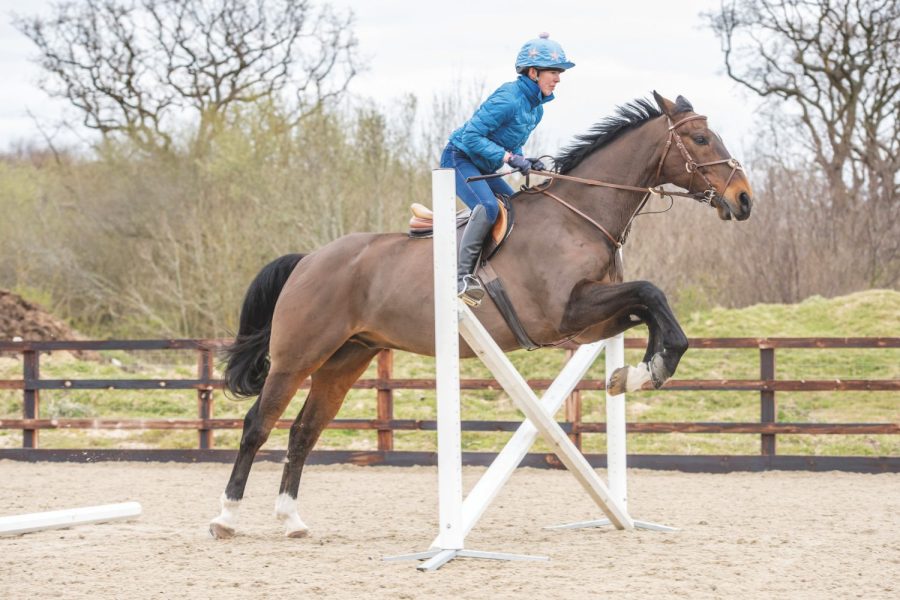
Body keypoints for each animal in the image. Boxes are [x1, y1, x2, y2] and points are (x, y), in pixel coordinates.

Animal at [209, 91, 752, 536]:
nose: (743, 199)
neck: (578, 215)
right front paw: (650, 370)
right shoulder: (567, 312)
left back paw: (290, 519)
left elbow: (649, 308)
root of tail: (309, 259)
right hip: (297, 357)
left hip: (347, 359)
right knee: (257, 425)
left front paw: (636, 374)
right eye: (701, 138)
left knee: (304, 431)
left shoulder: (592, 321)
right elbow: (651, 293)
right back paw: (226, 518)